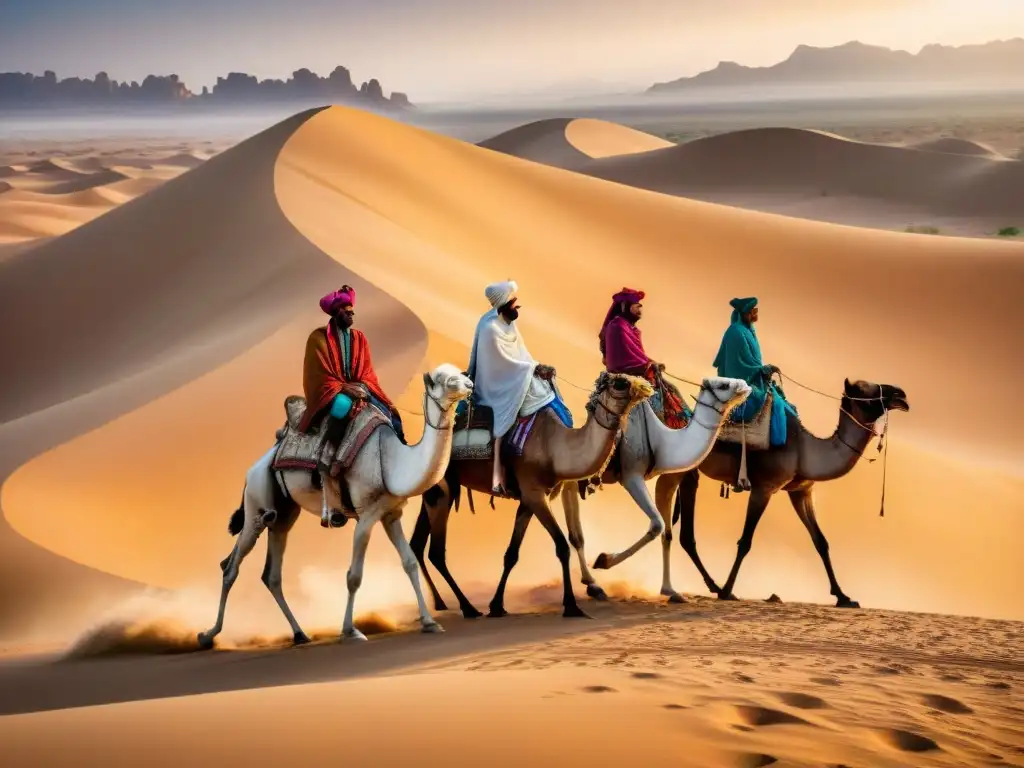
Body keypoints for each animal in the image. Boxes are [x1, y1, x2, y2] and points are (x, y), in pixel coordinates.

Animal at [197, 364, 477, 651]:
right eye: (444, 380)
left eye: (459, 373)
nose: (470, 384)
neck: (390, 461)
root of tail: (256, 466)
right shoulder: (366, 516)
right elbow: (354, 576)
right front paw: (350, 630)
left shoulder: (390, 514)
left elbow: (409, 562)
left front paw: (430, 623)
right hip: (256, 503)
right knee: (231, 567)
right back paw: (208, 635)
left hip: (283, 515)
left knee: (271, 575)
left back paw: (300, 634)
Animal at [409, 370, 655, 618]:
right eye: (620, 382)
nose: (646, 387)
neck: (553, 447)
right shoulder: (535, 494)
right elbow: (561, 547)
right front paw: (571, 605)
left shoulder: (528, 499)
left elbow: (512, 554)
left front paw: (497, 605)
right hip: (443, 490)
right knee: (435, 552)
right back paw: (467, 608)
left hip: (434, 492)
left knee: (417, 545)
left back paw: (439, 603)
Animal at [561, 376, 753, 606]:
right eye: (723, 385)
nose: (745, 386)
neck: (662, 440)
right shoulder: (631, 476)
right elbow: (657, 525)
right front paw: (604, 559)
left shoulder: (665, 480)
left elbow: (667, 534)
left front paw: (670, 590)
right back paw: (593, 583)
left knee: (573, 527)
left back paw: (592, 584)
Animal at [651, 376, 909, 606]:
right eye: (866, 391)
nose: (902, 395)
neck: (805, 450)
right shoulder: (764, 488)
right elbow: (745, 541)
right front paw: (727, 591)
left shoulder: (801, 492)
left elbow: (821, 541)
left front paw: (843, 596)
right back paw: (714, 587)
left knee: (684, 532)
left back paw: (710, 585)